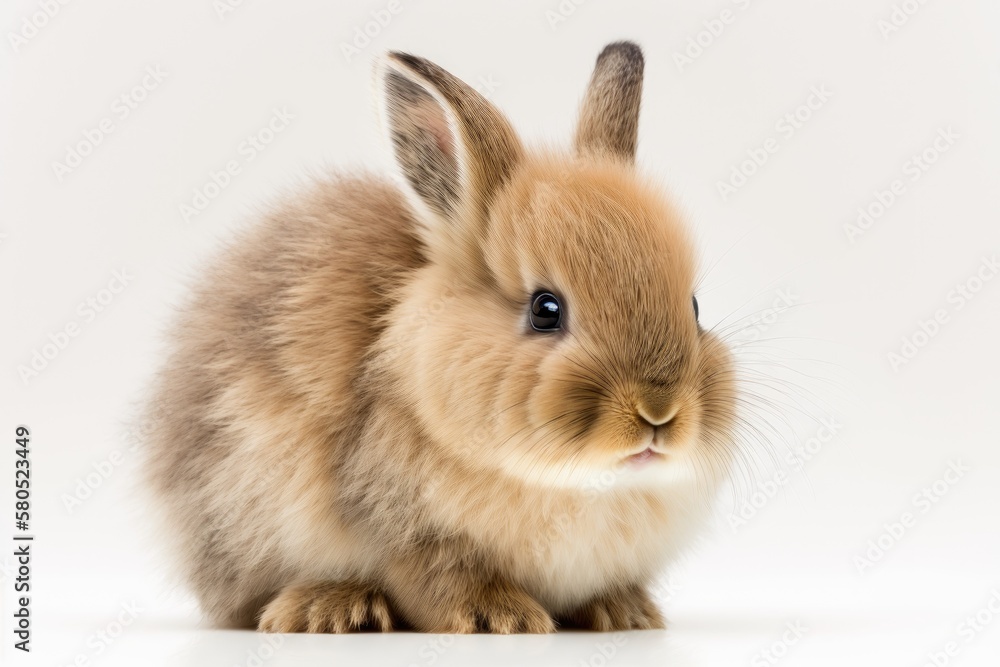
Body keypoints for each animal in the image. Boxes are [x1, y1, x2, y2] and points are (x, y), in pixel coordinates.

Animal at [146, 39, 744, 636]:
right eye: (545, 309)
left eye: (694, 308)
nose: (659, 412)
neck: (574, 481)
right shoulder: (409, 534)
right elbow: (438, 581)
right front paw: (500, 617)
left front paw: (625, 613)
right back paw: (332, 608)